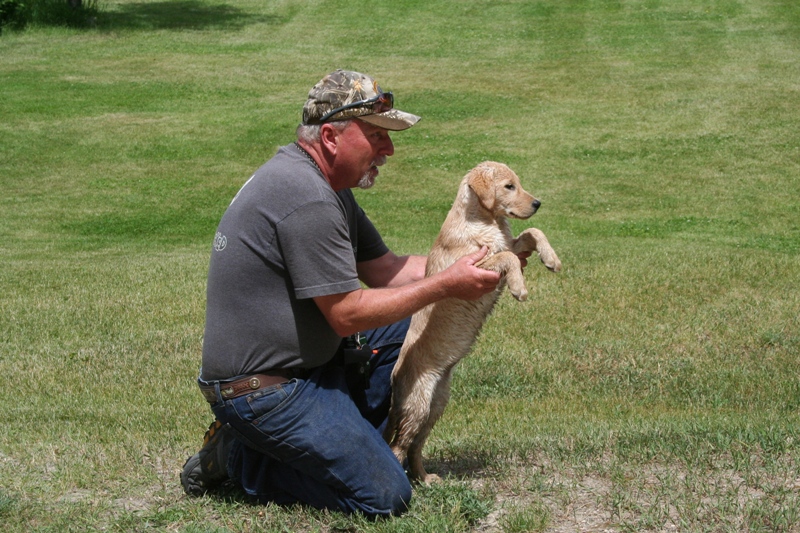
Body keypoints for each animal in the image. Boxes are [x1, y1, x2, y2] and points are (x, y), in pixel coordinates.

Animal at [382, 161, 560, 482]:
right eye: (509, 186)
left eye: (518, 183)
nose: (538, 203)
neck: (486, 220)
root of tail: (395, 380)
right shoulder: (476, 266)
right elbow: (508, 258)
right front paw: (519, 287)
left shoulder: (509, 243)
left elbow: (532, 231)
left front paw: (551, 259)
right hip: (418, 403)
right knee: (398, 447)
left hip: (437, 404)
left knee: (414, 446)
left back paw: (426, 479)